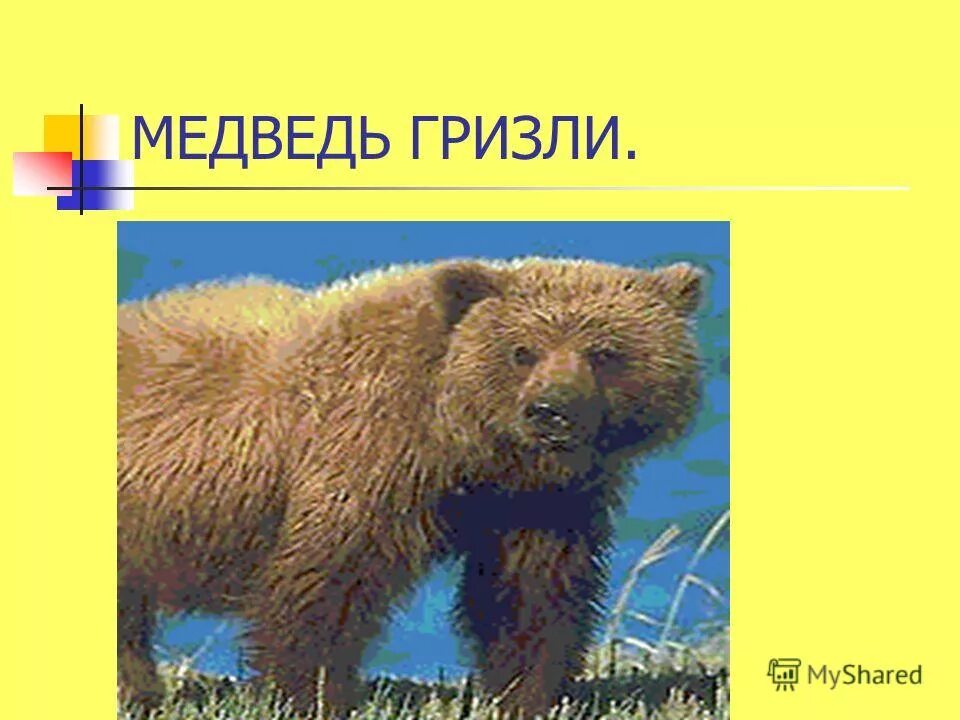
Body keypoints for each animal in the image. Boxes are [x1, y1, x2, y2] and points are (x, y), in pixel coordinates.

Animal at [118, 257, 703, 718]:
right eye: (522, 351)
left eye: (604, 352)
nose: (549, 411)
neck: (460, 440)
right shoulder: (367, 452)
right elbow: (324, 584)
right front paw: (310, 695)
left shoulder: (536, 501)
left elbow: (531, 593)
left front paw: (529, 693)